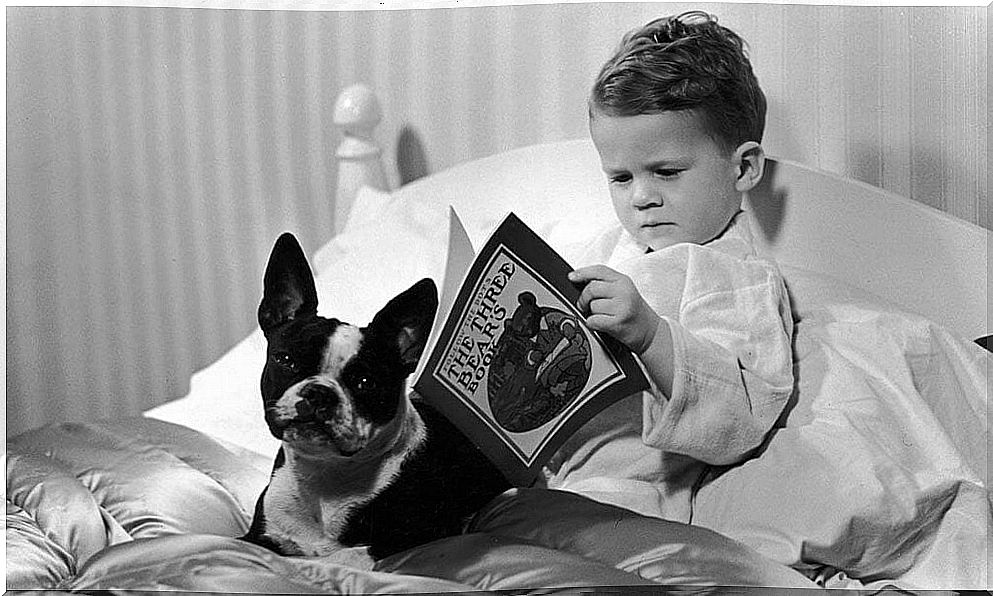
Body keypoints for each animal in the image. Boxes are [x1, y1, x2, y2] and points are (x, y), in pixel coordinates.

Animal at [242, 235, 512, 560]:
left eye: (366, 383)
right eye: (286, 360)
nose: (320, 393)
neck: (325, 479)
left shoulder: (420, 537)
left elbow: (348, 555)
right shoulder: (258, 537)